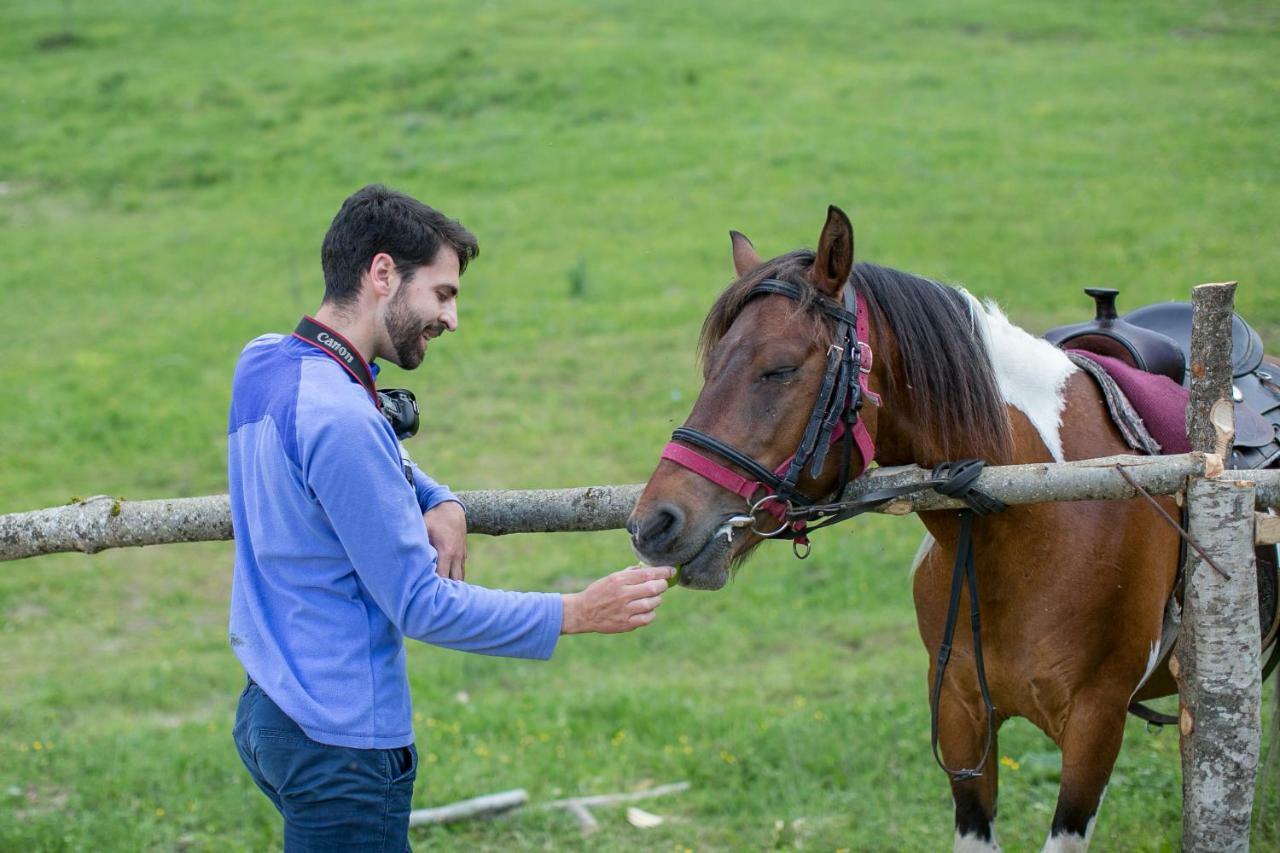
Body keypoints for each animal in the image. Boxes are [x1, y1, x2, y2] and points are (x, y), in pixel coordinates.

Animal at [629, 202, 1280, 845]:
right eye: (711, 367)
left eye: (780, 370)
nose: (654, 523)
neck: (1036, 519)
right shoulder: (960, 716)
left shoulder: (1096, 727)